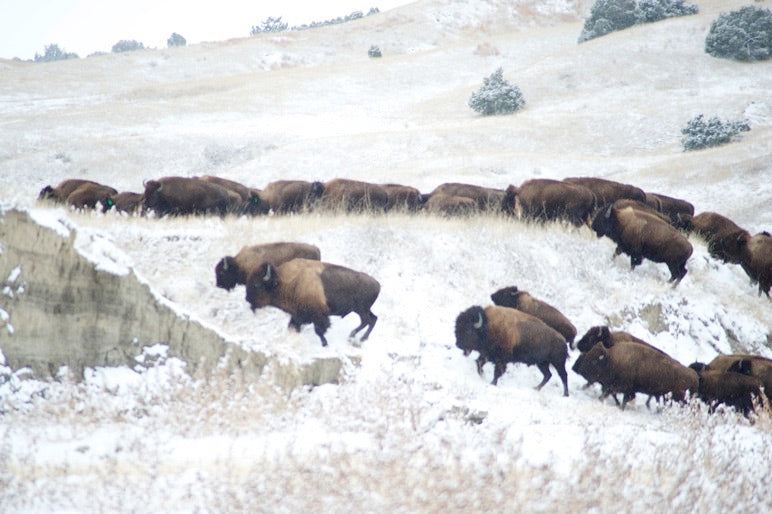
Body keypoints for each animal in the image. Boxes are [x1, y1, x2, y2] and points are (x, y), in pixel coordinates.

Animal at [244, 258, 380, 346]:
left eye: (256, 285)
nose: (247, 298)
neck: (287, 281)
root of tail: (377, 284)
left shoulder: (318, 315)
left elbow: (319, 330)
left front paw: (325, 344)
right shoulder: (297, 315)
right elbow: (293, 326)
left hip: (361, 309)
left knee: (367, 320)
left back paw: (353, 336)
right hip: (362, 310)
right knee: (373, 319)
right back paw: (361, 338)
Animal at [568, 336, 696, 408]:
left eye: (594, 360)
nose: (577, 369)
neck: (612, 359)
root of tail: (693, 375)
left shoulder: (622, 387)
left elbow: (618, 395)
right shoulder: (622, 389)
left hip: (680, 398)